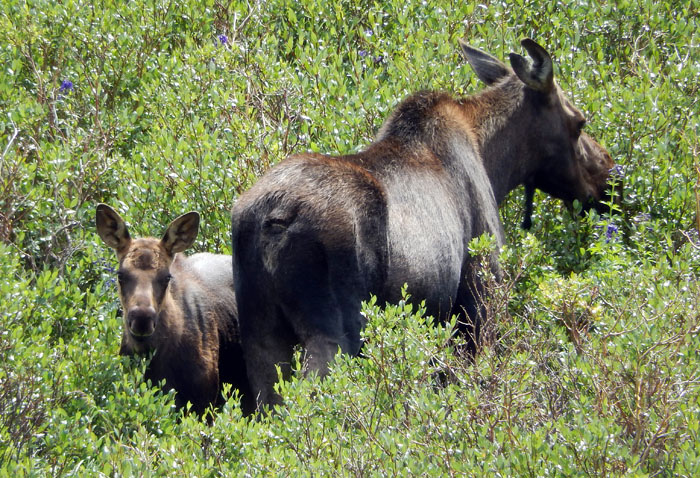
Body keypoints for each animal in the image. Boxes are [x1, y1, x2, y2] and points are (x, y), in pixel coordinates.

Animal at [232, 38, 616, 408]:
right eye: (579, 122)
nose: (609, 176)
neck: (497, 166)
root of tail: (273, 218)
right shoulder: (479, 300)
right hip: (336, 331)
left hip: (260, 334)